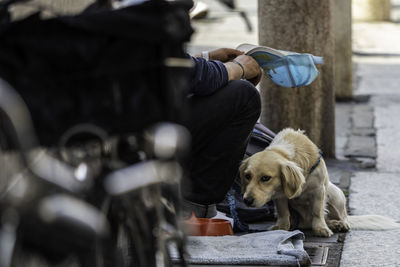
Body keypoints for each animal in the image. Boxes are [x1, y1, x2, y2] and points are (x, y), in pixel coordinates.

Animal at [239, 129, 398, 238]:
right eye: (247, 176)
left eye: (265, 178)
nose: (247, 200)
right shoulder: (280, 195)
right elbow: (283, 212)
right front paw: (282, 227)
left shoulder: (319, 190)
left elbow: (317, 211)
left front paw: (321, 228)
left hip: (335, 194)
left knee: (340, 217)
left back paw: (338, 224)